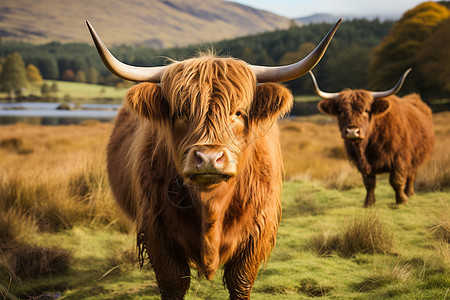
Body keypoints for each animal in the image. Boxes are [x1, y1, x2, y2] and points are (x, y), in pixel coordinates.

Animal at [87, 19, 342, 298]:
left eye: (238, 112)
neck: (211, 205)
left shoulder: (257, 231)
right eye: (181, 112)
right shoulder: (156, 230)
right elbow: (173, 282)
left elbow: (240, 281)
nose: (209, 158)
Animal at [312, 69, 434, 207]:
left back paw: (409, 193)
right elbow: (369, 183)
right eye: (341, 111)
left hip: (417, 156)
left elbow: (396, 180)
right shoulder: (362, 163)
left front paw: (401, 200)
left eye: (366, 110)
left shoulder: (399, 157)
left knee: (411, 174)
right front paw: (369, 203)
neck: (367, 145)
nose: (352, 132)